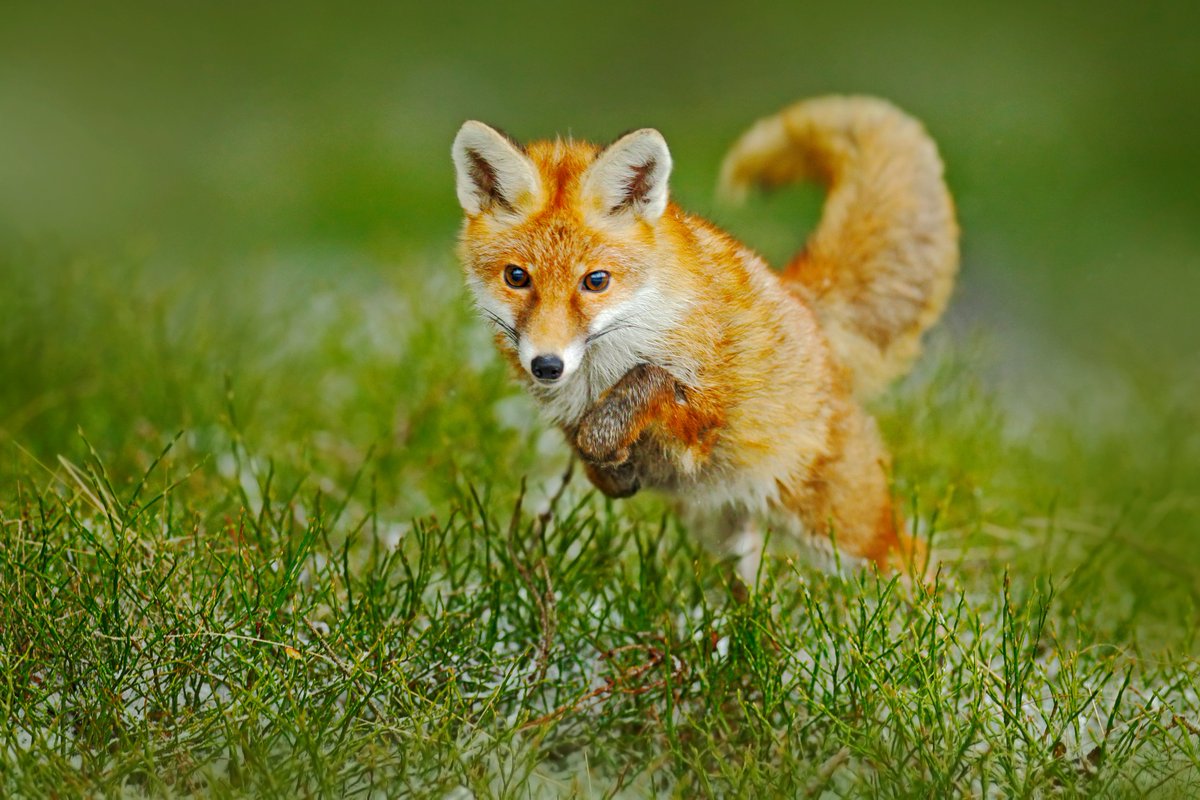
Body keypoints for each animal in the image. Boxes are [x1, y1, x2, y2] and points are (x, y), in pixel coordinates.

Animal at [451, 95, 958, 579]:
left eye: (596, 281)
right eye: (517, 277)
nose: (547, 365)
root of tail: (805, 305)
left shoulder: (704, 414)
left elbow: (645, 382)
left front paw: (609, 438)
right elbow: (588, 447)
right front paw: (612, 471)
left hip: (842, 528)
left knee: (915, 563)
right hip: (722, 530)